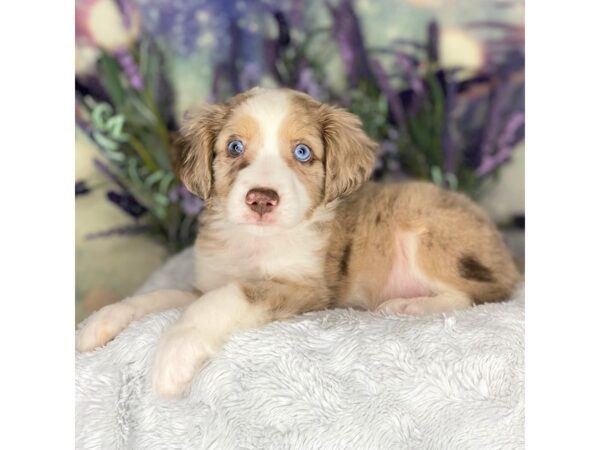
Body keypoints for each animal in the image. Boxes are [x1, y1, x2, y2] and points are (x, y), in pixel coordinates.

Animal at [78, 88, 520, 398]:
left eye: (303, 152)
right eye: (235, 147)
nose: (261, 199)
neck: (257, 241)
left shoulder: (306, 289)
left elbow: (224, 298)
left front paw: (174, 354)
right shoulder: (206, 281)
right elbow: (160, 296)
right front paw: (101, 321)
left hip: (424, 229)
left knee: (477, 294)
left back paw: (409, 305)